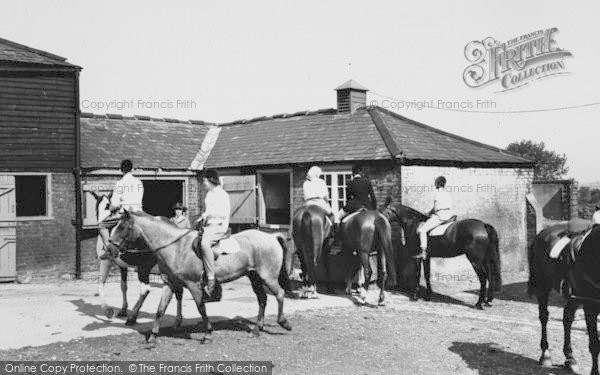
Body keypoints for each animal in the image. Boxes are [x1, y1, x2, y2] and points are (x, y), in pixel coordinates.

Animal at [89, 192, 183, 328]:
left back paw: (132, 317)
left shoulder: (106, 262)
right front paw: (123, 309)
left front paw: (108, 311)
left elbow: (100, 285)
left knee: (145, 290)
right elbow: (123, 286)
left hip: (144, 267)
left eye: (103, 207)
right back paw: (178, 320)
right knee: (178, 289)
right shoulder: (122, 265)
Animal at [109, 210, 292, 346]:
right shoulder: (169, 283)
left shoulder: (193, 284)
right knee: (262, 299)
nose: (110, 249)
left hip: (268, 277)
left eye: (122, 227)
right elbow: (160, 309)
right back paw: (256, 330)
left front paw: (208, 334)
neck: (176, 247)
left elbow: (201, 307)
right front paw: (153, 337)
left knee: (280, 294)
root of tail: (271, 236)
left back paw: (283, 322)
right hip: (254, 277)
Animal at [528, 222, 600, 374]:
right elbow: (595, 345)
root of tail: (541, 233)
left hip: (573, 297)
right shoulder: (590, 307)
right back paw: (545, 355)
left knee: (567, 319)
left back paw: (570, 358)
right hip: (542, 287)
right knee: (544, 317)